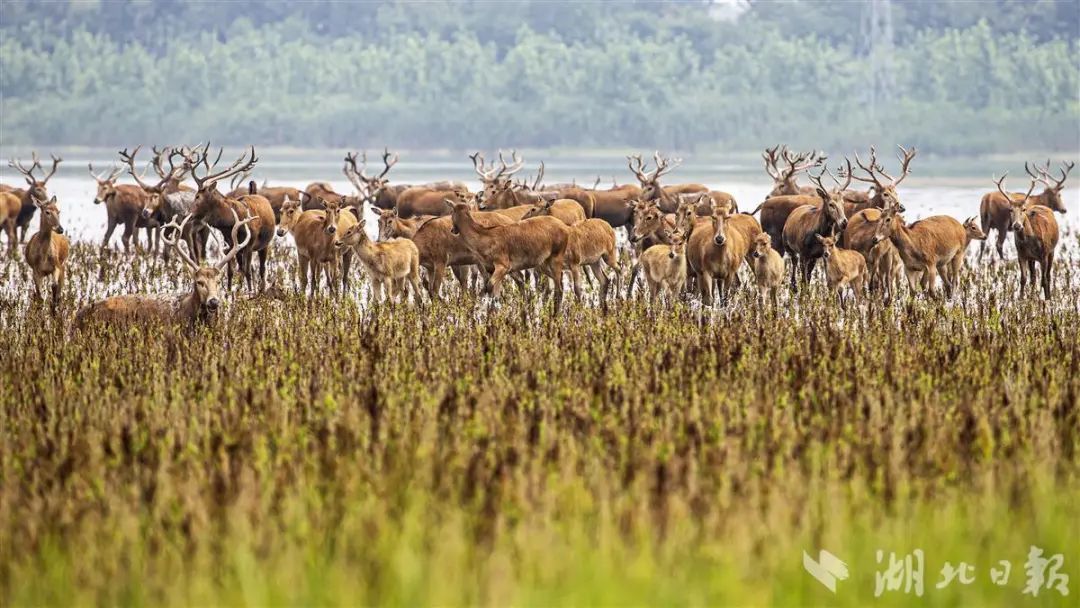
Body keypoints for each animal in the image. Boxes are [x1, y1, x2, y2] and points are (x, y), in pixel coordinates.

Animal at [187, 144, 275, 292]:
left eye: (197, 196)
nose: (188, 214)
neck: (229, 223)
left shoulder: (249, 244)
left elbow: (247, 271)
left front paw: (250, 292)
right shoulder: (230, 244)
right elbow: (232, 271)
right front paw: (229, 292)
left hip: (264, 245)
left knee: (262, 269)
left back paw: (261, 289)